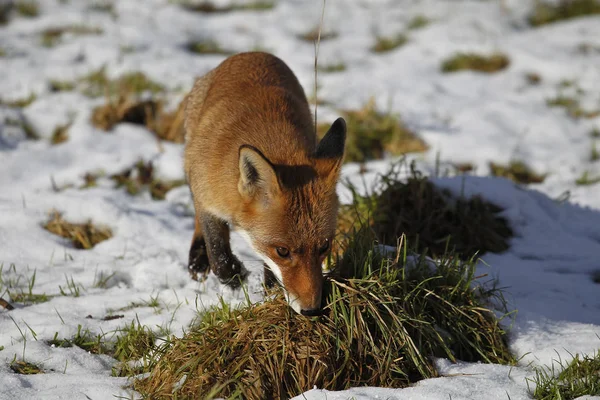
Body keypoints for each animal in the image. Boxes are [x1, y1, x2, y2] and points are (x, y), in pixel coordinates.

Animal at [182, 51, 346, 316]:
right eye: (282, 251)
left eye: (324, 246)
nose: (311, 311)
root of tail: (252, 54)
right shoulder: (207, 195)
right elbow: (218, 254)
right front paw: (235, 276)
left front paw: (271, 288)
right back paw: (198, 259)